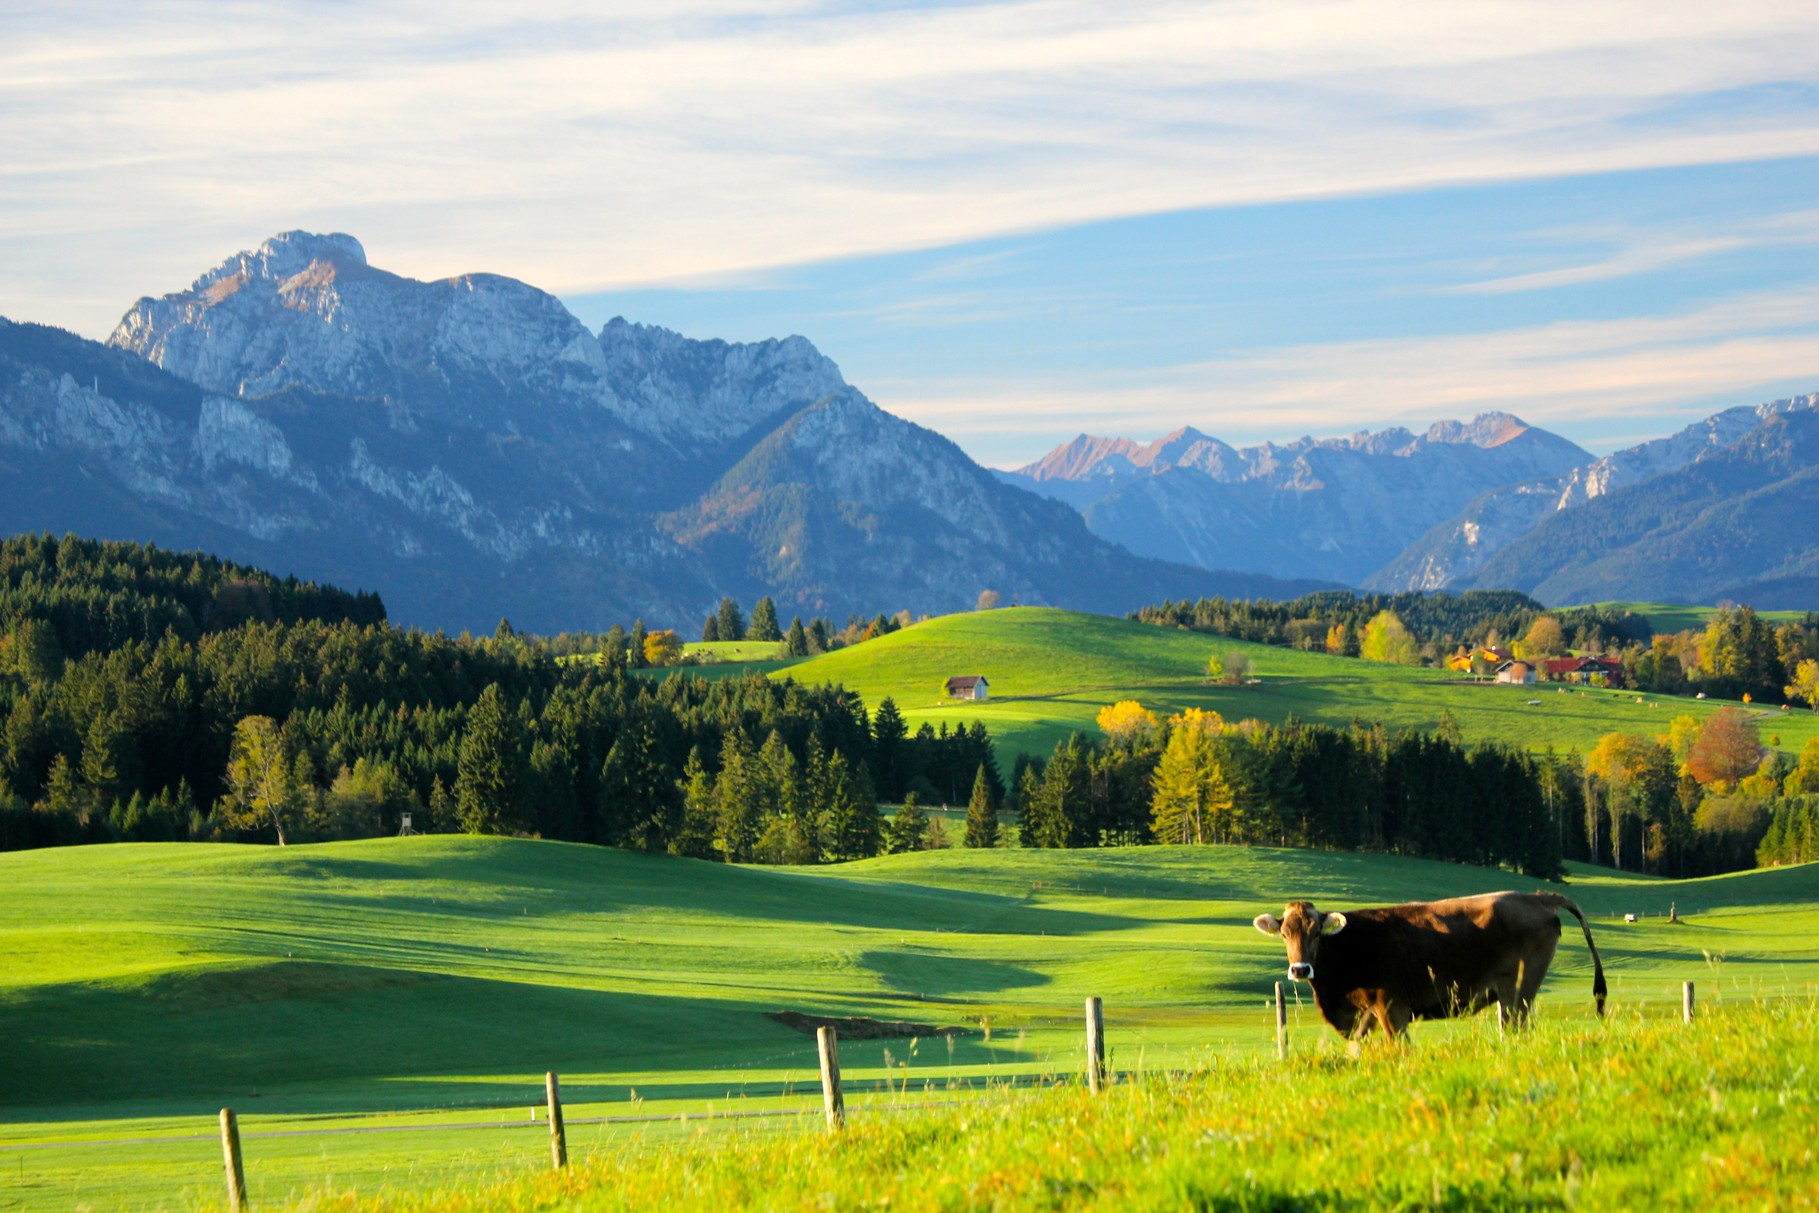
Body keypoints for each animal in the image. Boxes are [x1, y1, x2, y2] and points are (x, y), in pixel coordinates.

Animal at [1251, 887, 1607, 1040]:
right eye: (1284, 933)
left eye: (1316, 931)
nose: (1300, 969)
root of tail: (1537, 897)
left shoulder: (1392, 1008)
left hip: (1517, 991)